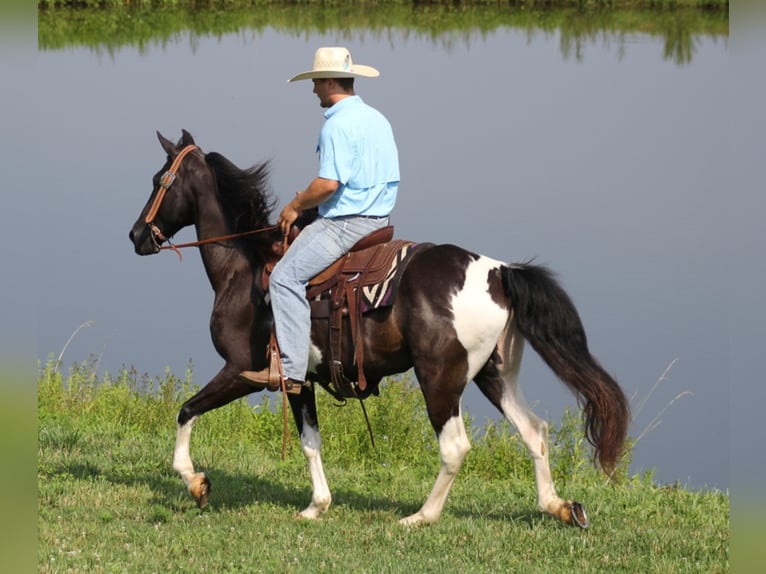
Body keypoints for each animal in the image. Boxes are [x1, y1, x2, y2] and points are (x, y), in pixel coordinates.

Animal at [127, 130, 632, 532]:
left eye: (157, 181)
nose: (136, 236)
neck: (247, 268)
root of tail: (498, 272)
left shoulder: (241, 370)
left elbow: (186, 410)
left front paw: (196, 483)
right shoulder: (300, 380)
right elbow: (310, 442)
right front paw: (317, 506)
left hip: (439, 380)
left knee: (455, 447)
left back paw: (421, 516)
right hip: (493, 375)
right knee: (534, 431)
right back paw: (559, 507)